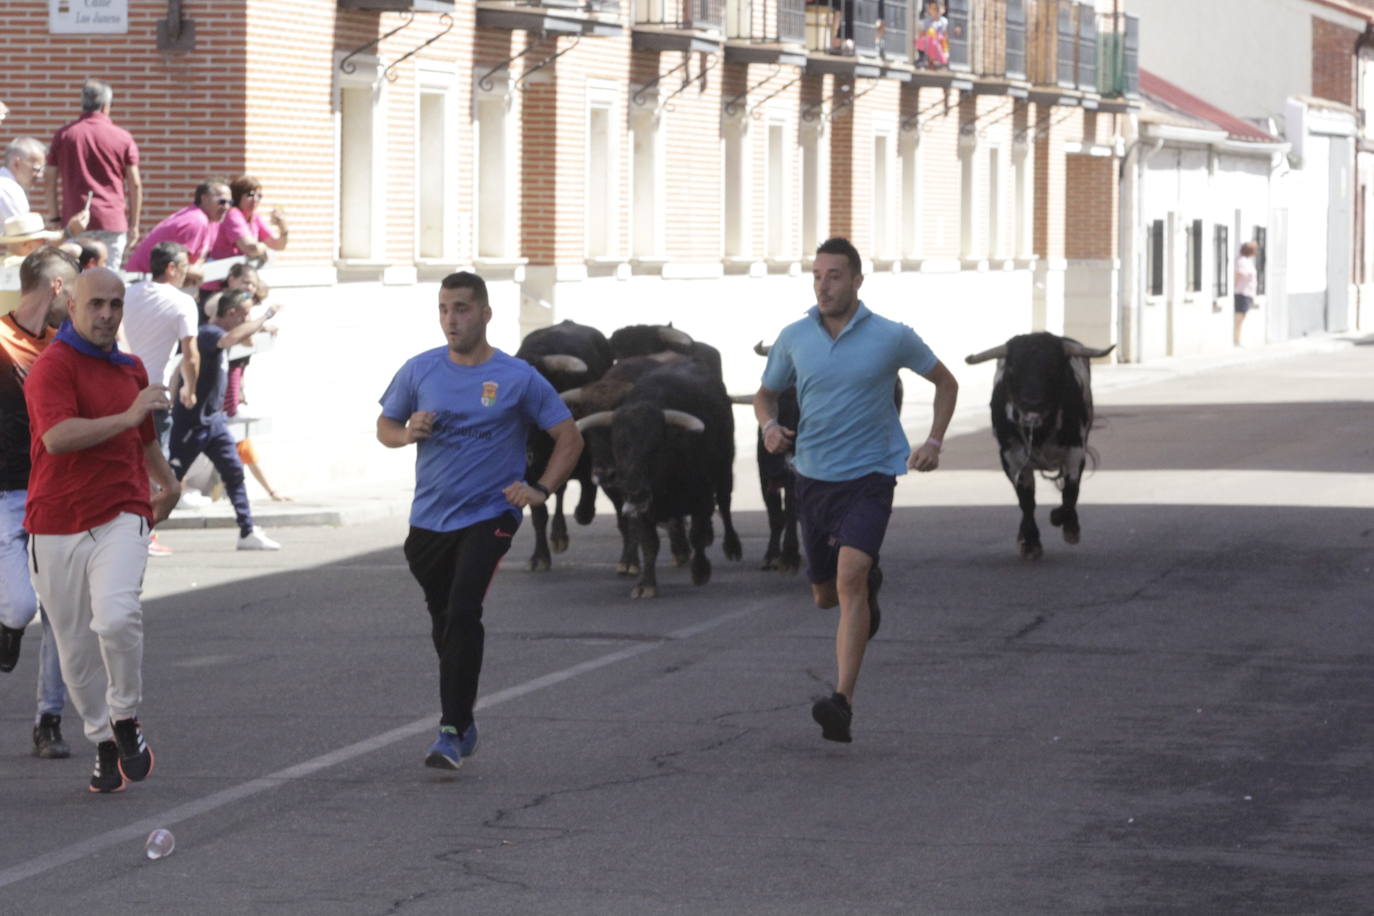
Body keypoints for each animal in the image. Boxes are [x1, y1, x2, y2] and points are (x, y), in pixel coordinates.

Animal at [967, 329, 1115, 560]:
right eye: (1013, 368)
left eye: (1052, 367)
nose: (1031, 405)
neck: (1039, 431)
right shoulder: (1012, 458)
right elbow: (1026, 500)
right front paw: (1030, 543)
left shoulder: (1075, 452)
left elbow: (1070, 492)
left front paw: (1066, 524)